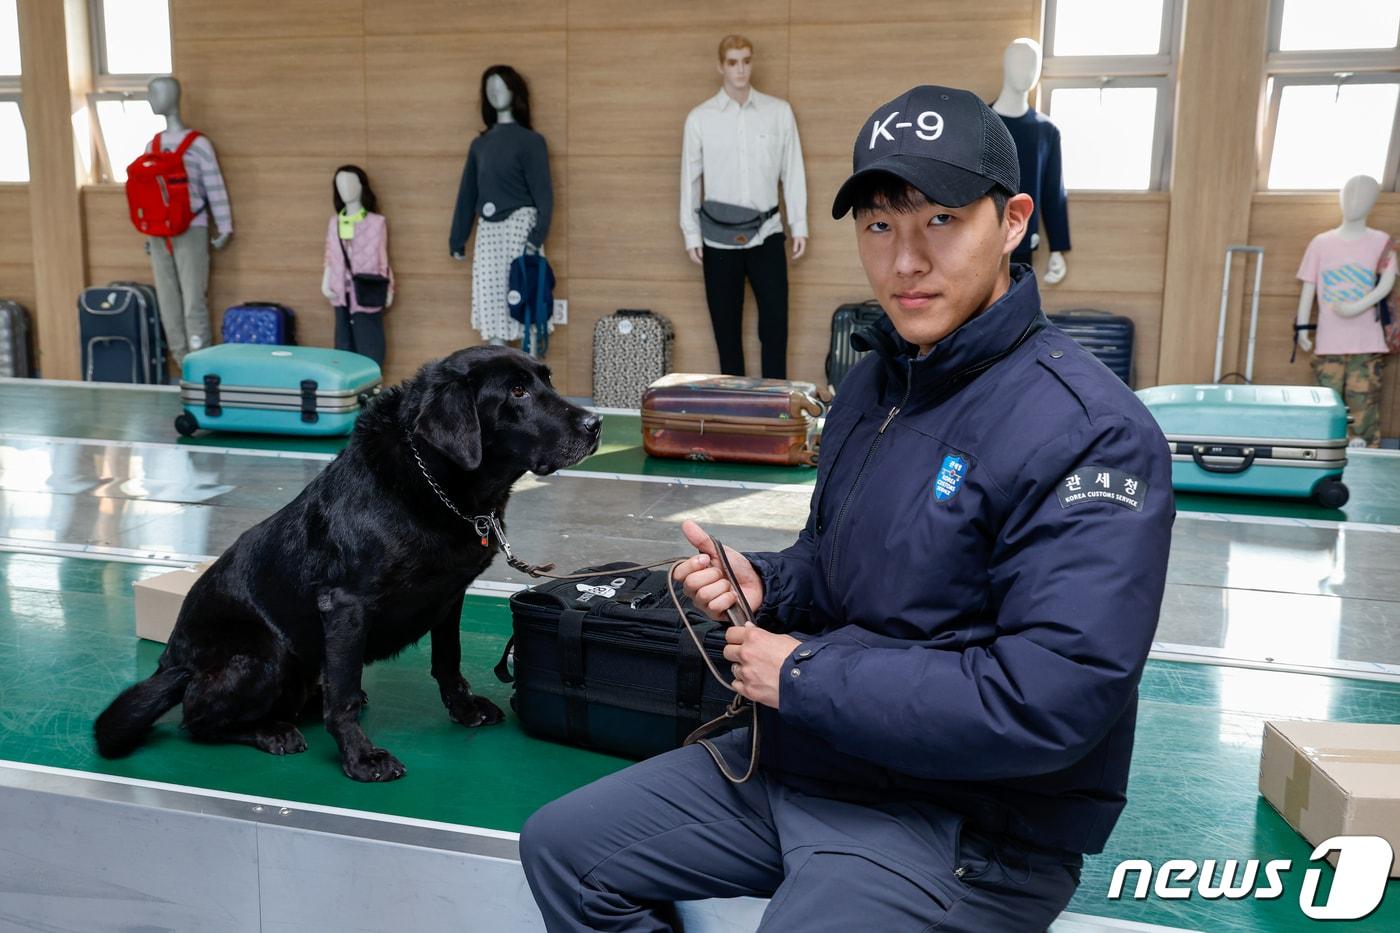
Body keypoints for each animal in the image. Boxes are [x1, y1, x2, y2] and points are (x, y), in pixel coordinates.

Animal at [95, 347, 599, 778]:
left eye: (546, 380)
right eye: (516, 392)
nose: (595, 424)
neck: (436, 483)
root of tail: (171, 660)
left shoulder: (450, 595)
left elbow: (448, 662)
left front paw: (464, 708)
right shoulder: (346, 605)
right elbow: (343, 699)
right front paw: (360, 757)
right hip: (263, 654)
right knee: (195, 717)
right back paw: (271, 731)